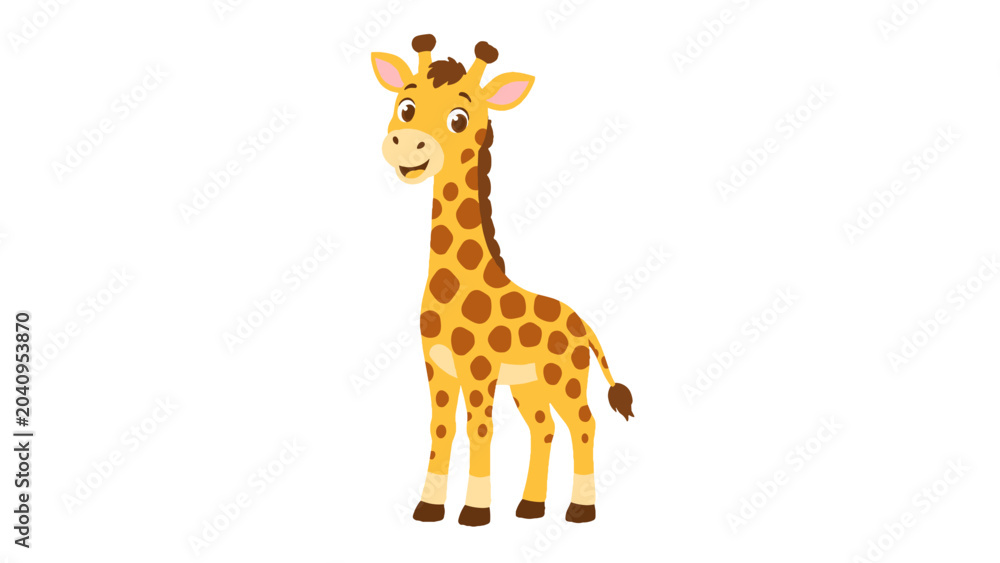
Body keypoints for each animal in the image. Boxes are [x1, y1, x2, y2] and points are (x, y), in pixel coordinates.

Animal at [372, 35, 635, 527]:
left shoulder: (478, 366)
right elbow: (441, 427)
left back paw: (580, 510)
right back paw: (530, 507)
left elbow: (479, 427)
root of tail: (584, 326)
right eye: (406, 106)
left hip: (564, 376)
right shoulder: (437, 364)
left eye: (459, 118)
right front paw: (429, 508)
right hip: (530, 384)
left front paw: (475, 512)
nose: (408, 146)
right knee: (544, 427)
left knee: (583, 423)